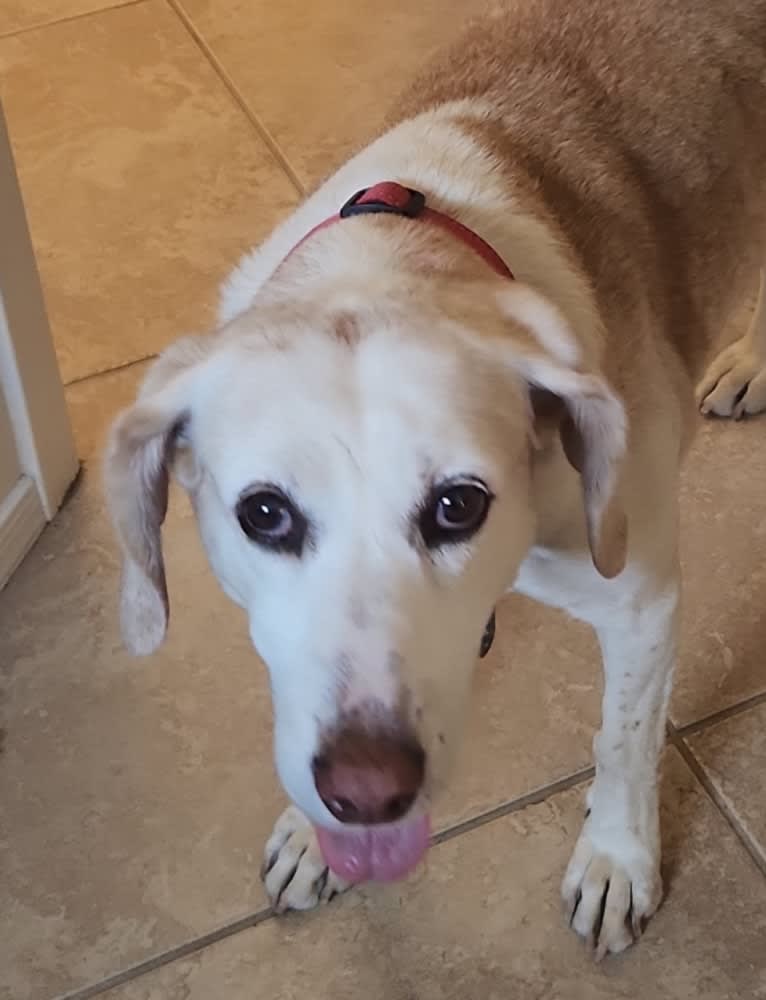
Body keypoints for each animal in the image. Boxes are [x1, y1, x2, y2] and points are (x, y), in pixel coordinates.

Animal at [105, 0, 766, 960]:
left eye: (459, 505)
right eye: (263, 514)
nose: (367, 791)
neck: (393, 257)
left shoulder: (641, 600)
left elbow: (626, 739)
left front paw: (616, 858)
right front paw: (312, 836)